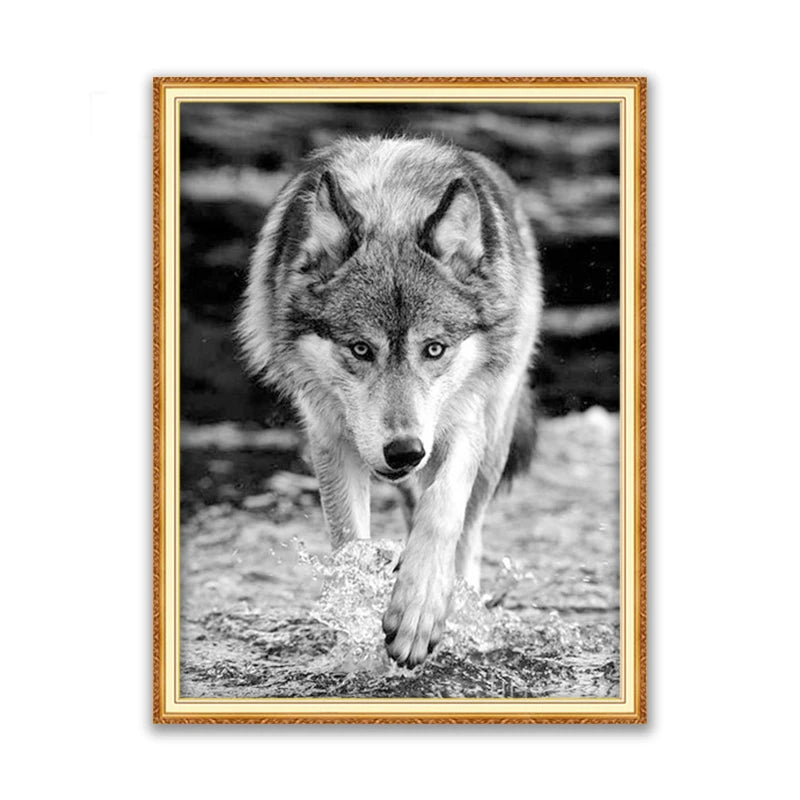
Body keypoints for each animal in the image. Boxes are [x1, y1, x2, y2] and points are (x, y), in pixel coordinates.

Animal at [238, 136, 542, 667]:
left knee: (466, 530)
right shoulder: (330, 437)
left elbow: (442, 510)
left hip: (493, 439)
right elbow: (349, 545)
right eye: (361, 349)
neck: (393, 205)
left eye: (434, 349)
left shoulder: (464, 422)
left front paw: (420, 607)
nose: (404, 451)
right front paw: (355, 622)